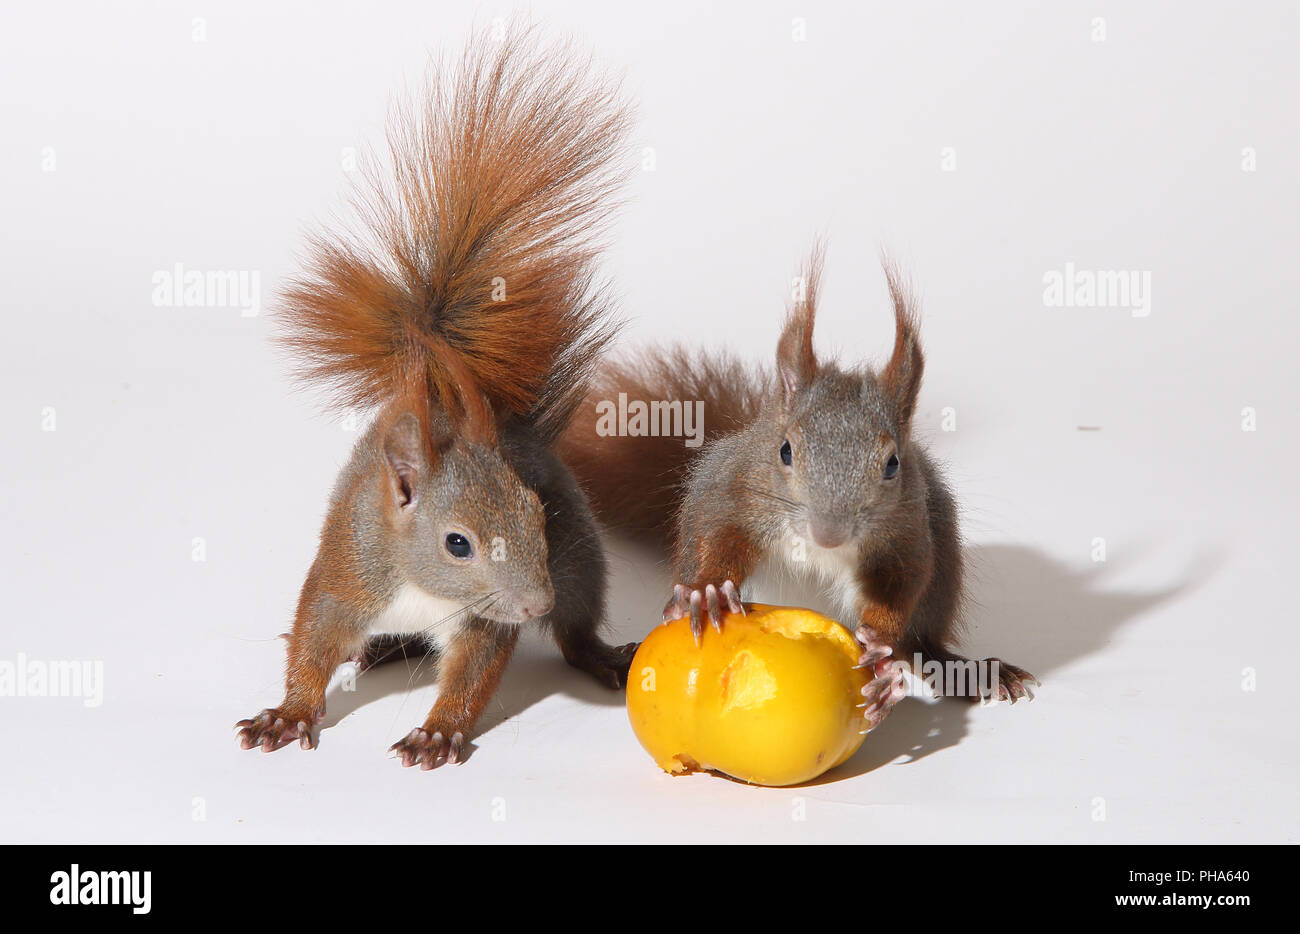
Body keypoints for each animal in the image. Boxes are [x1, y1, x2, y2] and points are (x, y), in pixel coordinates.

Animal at [235, 27, 638, 769]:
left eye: (538, 513)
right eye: (458, 544)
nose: (534, 605)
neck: (423, 590)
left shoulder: (483, 619)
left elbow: (473, 672)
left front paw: (440, 730)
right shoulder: (347, 575)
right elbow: (311, 640)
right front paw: (288, 712)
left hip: (583, 566)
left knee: (576, 630)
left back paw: (596, 653)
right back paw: (383, 650)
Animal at [560, 246, 1037, 731]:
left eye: (892, 464)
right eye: (785, 450)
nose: (829, 534)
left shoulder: (908, 530)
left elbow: (903, 581)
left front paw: (880, 650)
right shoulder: (730, 488)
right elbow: (715, 533)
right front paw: (708, 592)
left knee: (921, 643)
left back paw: (958, 672)